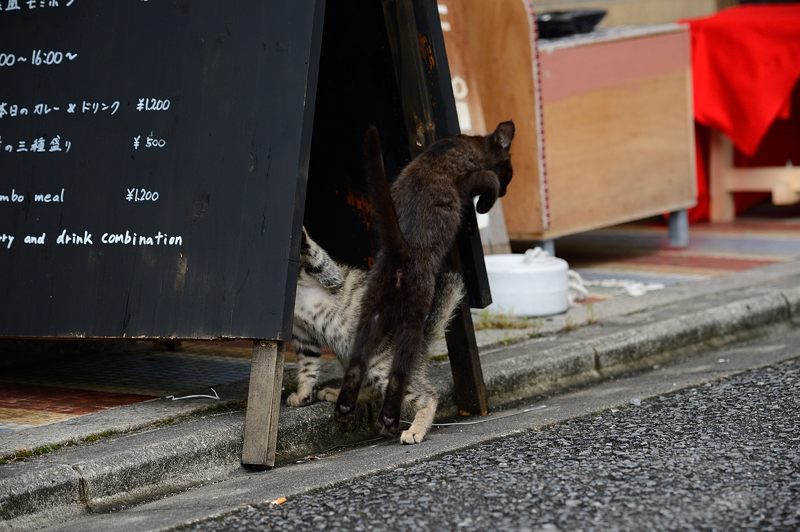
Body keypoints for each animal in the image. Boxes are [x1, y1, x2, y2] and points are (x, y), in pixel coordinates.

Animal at [290, 229, 462, 444]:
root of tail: (422, 336)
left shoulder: (331, 277)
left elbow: (318, 258)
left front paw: (304, 238)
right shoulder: (302, 336)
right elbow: (307, 367)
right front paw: (303, 395)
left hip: (384, 367)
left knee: (429, 395)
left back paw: (416, 430)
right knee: (369, 387)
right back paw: (337, 393)